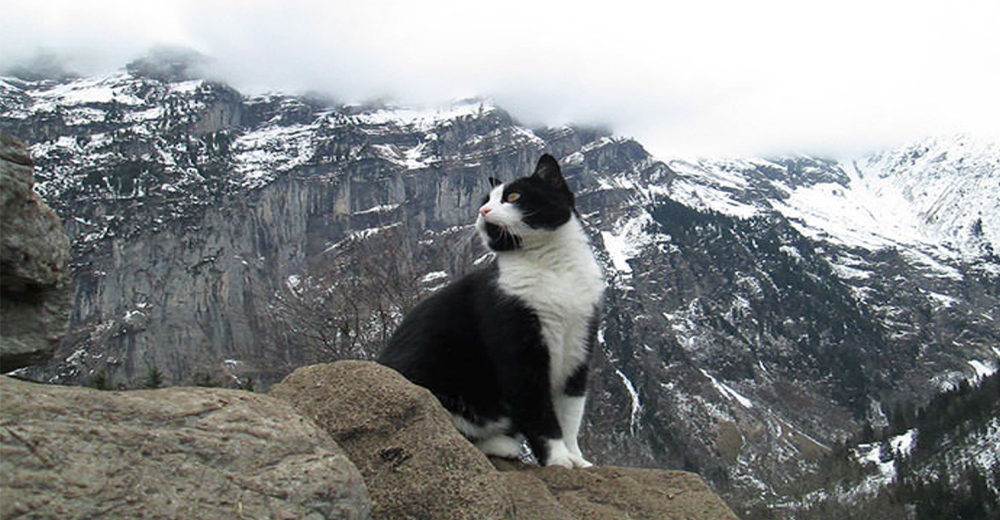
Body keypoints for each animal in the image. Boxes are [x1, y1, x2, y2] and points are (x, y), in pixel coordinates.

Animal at [378, 154, 604, 468]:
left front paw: (577, 459)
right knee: (441, 429)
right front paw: (558, 459)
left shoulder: (580, 345)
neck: (553, 267)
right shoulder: (517, 345)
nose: (482, 210)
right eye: (486, 199)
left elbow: (571, 412)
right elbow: (538, 412)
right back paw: (501, 444)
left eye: (513, 196)